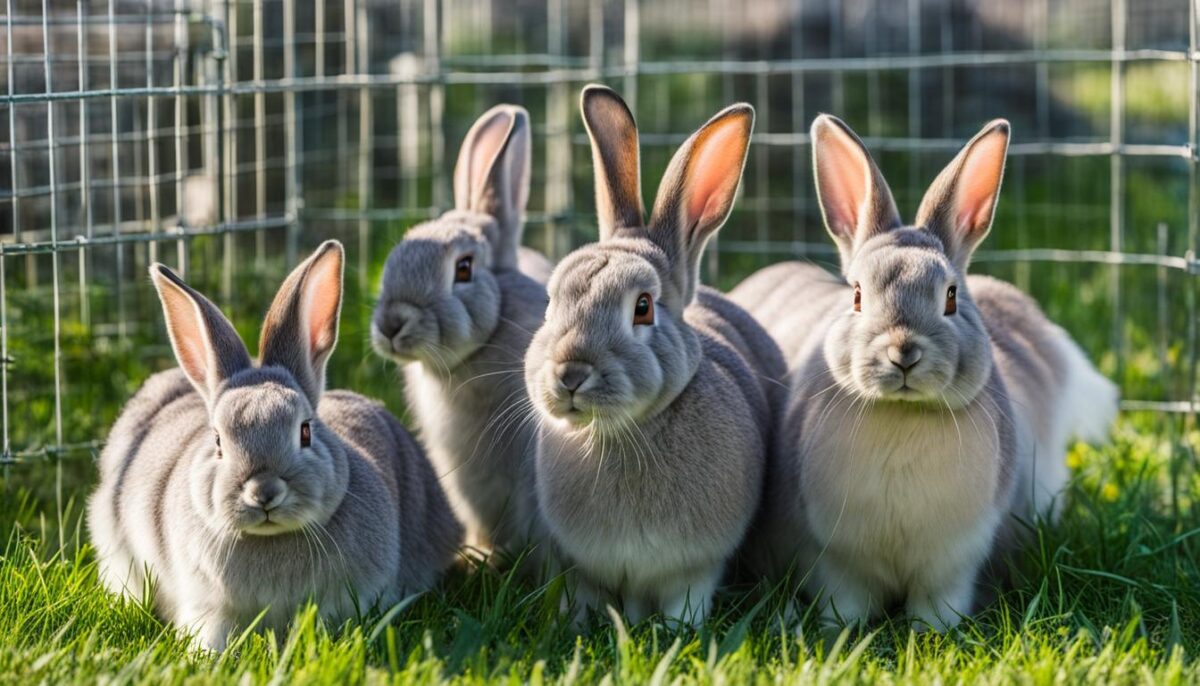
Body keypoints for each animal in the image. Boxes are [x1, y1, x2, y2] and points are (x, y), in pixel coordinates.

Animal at [525, 85, 786, 628]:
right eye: (550, 302)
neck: (618, 434)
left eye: (643, 307)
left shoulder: (695, 569)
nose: (570, 373)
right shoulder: (582, 570)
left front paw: (674, 632)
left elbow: (685, 605)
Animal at [730, 115, 1118, 632]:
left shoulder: (952, 565)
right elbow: (846, 602)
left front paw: (932, 634)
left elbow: (938, 607)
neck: (903, 415)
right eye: (857, 295)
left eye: (951, 297)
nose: (903, 353)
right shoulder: (837, 561)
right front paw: (843, 631)